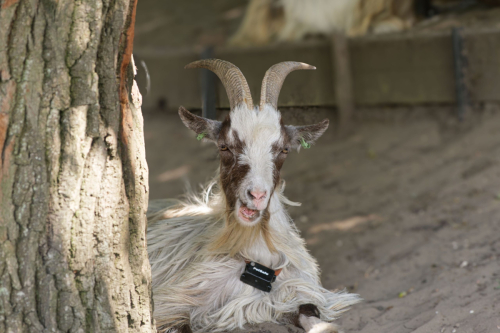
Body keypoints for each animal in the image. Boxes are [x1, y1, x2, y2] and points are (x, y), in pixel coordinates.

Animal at [146, 58, 362, 330]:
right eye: (224, 146)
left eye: (284, 150)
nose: (257, 195)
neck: (256, 257)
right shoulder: (171, 303)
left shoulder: (291, 290)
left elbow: (309, 309)